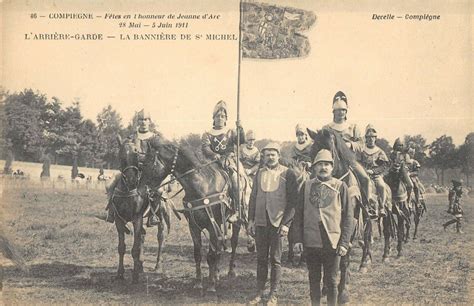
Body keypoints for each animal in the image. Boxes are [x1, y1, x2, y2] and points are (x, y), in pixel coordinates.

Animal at [110, 137, 170, 284]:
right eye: (121, 156)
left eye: (136, 157)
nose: (132, 180)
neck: (128, 190)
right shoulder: (119, 220)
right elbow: (122, 247)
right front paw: (120, 273)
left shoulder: (136, 218)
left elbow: (135, 249)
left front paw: (135, 276)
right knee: (143, 235)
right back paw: (141, 265)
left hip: (160, 216)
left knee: (161, 237)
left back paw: (157, 266)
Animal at [153, 141, 252, 292]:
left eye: (146, 162)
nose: (154, 192)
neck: (201, 187)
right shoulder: (194, 226)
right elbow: (198, 254)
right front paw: (199, 282)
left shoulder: (212, 225)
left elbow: (211, 255)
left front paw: (211, 284)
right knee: (219, 247)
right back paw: (217, 274)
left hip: (235, 222)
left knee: (233, 244)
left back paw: (230, 271)